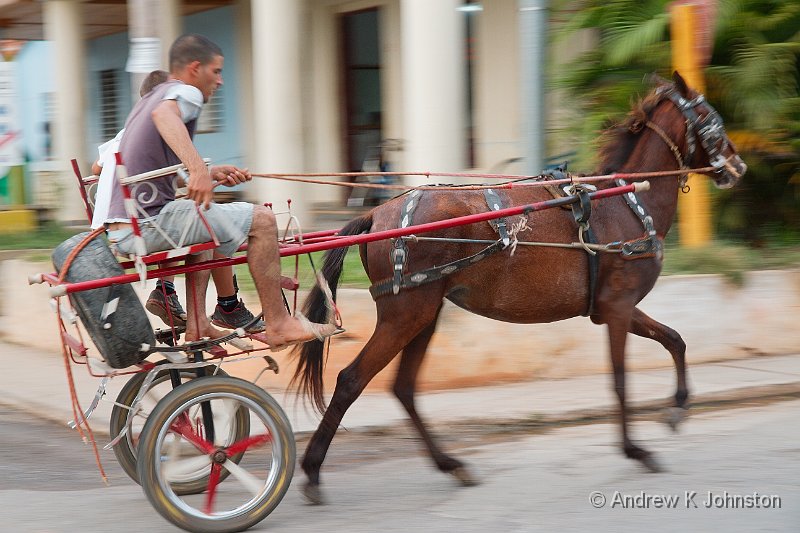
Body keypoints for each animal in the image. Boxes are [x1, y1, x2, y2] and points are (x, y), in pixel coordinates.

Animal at [296, 71, 752, 502]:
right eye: (709, 117)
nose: (738, 166)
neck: (627, 202)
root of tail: (377, 215)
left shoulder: (611, 307)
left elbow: (675, 339)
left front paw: (678, 407)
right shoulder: (618, 308)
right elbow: (622, 378)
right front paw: (635, 449)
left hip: (424, 314)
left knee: (404, 388)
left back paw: (450, 465)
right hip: (405, 315)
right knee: (351, 380)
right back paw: (313, 468)